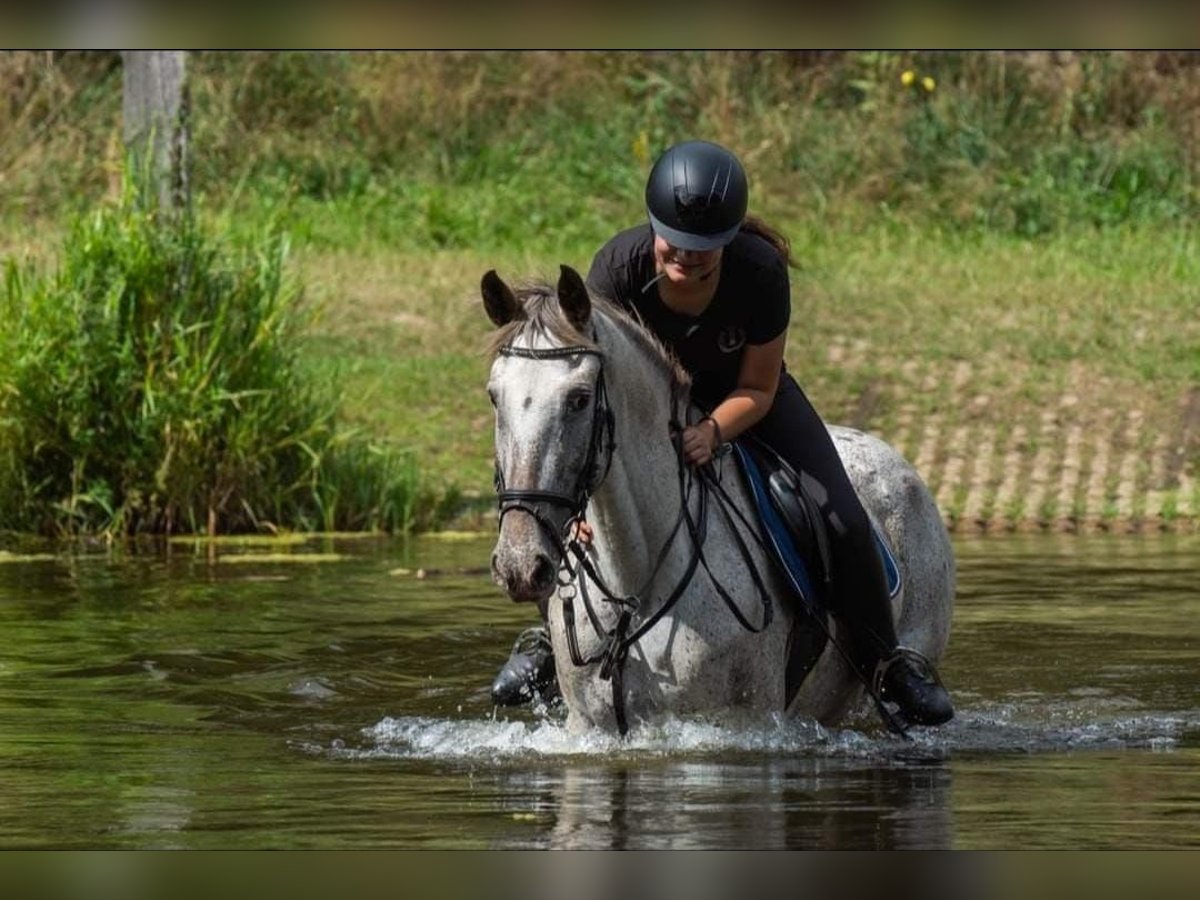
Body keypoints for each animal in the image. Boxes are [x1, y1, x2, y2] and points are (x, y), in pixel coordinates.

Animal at [480, 264, 955, 734]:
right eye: (494, 397)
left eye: (578, 399)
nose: (520, 566)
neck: (635, 585)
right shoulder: (589, 726)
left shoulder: (745, 722)